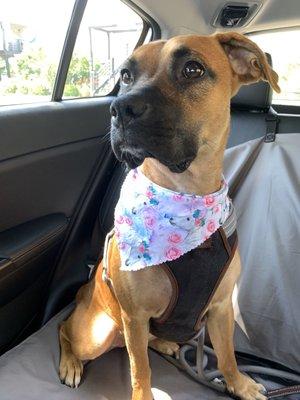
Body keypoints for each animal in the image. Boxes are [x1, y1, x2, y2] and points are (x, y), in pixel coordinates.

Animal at [59, 32, 282, 398]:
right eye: (125, 75)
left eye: (192, 69)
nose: (120, 109)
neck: (186, 195)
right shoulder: (135, 316)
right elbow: (141, 371)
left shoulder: (221, 308)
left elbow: (227, 356)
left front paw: (239, 384)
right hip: (97, 333)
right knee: (65, 328)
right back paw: (70, 364)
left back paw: (163, 343)